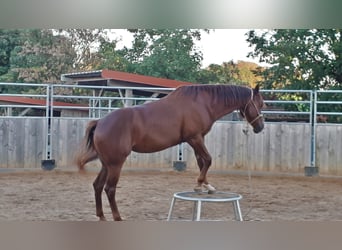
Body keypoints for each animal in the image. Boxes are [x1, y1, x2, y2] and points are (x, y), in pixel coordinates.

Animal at [77, 84, 264, 221]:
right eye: (260, 104)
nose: (260, 127)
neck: (203, 103)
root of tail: (100, 122)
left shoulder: (198, 139)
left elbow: (202, 162)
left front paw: (205, 185)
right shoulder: (194, 138)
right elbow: (208, 159)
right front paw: (200, 184)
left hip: (106, 164)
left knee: (97, 185)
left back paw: (101, 216)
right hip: (116, 164)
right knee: (109, 189)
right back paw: (117, 217)